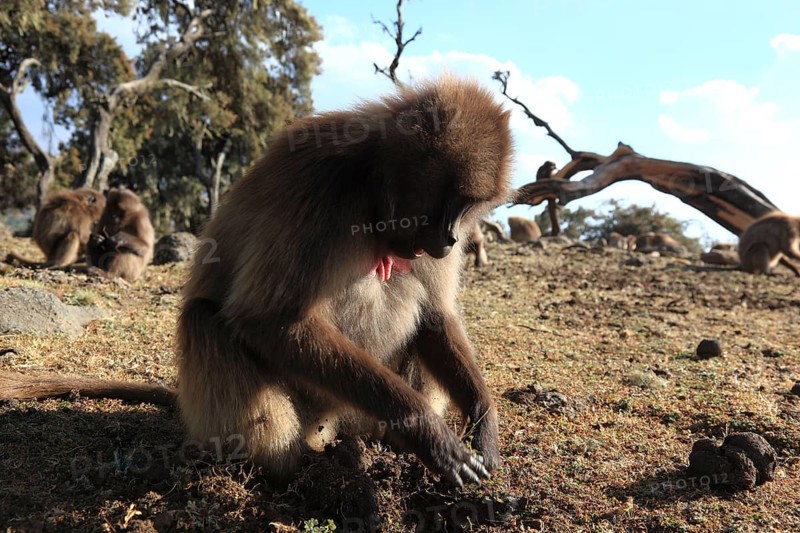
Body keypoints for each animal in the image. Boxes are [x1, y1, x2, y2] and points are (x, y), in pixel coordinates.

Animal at [0, 78, 512, 488]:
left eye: (468, 206)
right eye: (453, 201)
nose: (450, 240)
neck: (369, 192)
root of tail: (330, 424)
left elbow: (437, 316)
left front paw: (481, 422)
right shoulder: (319, 187)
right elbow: (269, 320)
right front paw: (427, 429)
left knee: (419, 313)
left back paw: (383, 447)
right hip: (300, 406)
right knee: (205, 318)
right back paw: (290, 471)